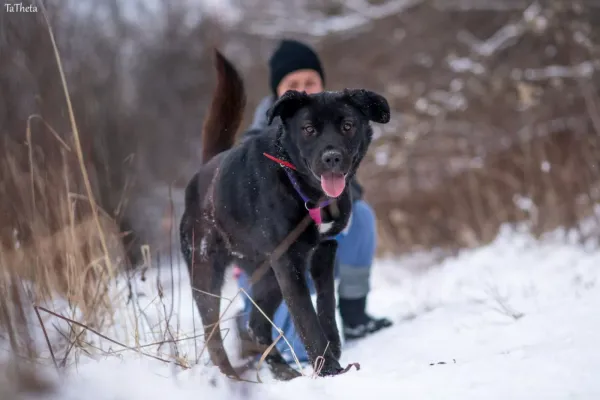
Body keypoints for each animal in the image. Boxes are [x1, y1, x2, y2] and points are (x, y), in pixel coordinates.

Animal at [180, 50, 392, 382]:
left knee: (256, 325)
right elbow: (306, 317)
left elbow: (326, 307)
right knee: (213, 334)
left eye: (347, 125)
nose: (332, 157)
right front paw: (328, 369)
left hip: (267, 275)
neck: (304, 191)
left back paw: (283, 371)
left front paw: (333, 354)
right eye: (308, 129)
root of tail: (203, 174)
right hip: (207, 274)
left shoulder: (324, 251)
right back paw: (232, 378)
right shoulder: (288, 261)